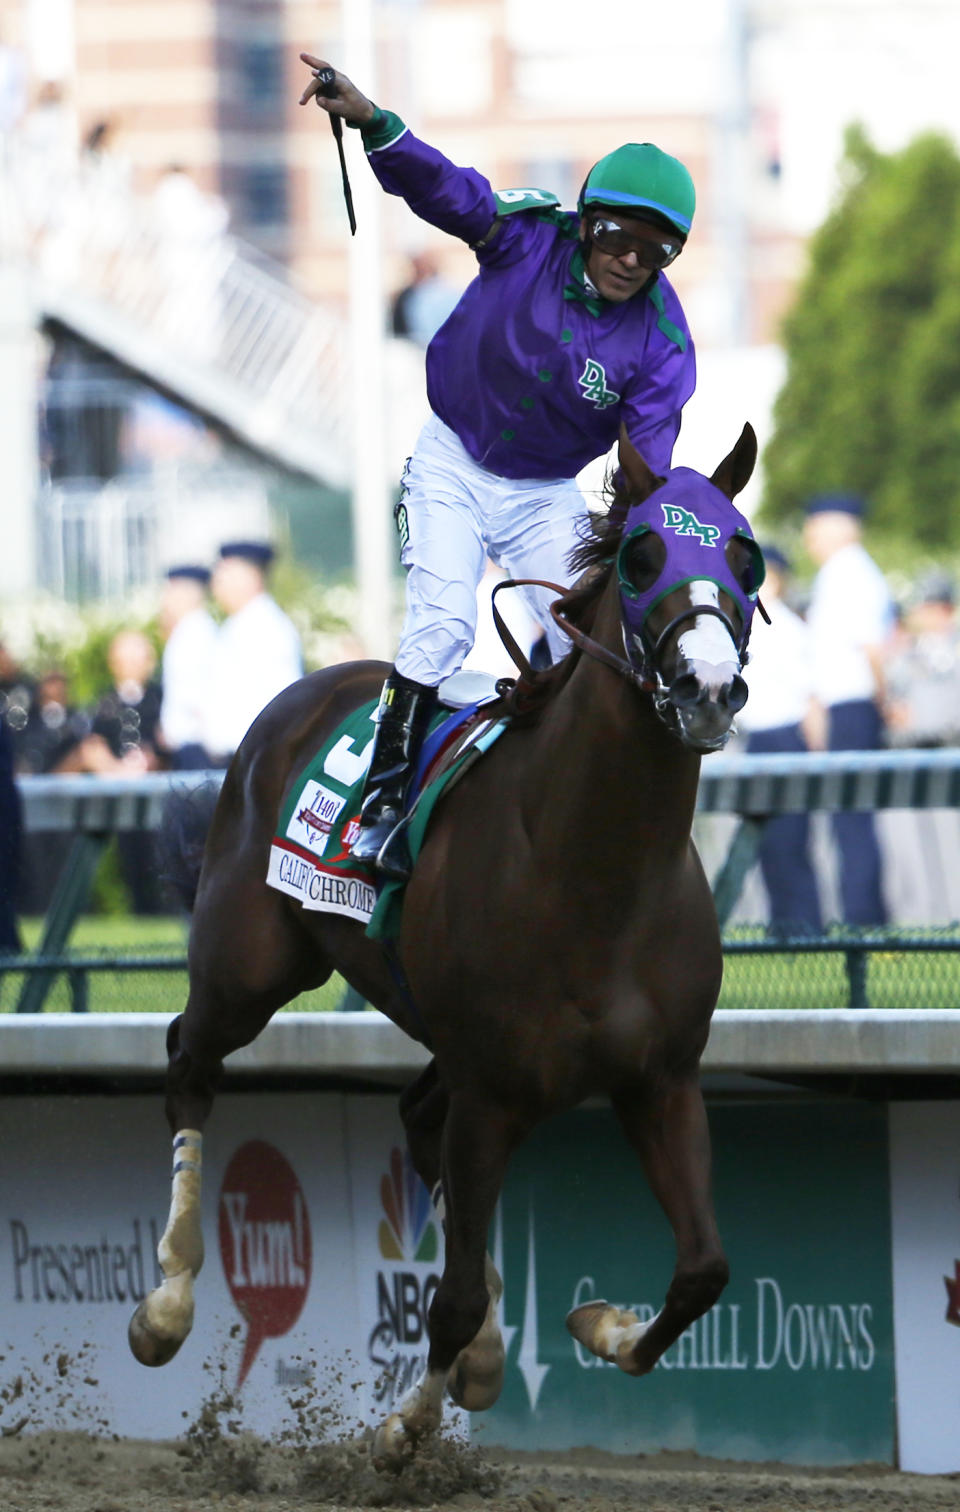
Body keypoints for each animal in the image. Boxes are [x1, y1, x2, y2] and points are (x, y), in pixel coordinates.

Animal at [129, 420, 764, 1469]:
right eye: (641, 557)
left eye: (746, 558)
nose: (708, 686)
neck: (596, 865)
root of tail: (307, 687)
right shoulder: (496, 1093)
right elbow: (453, 1293)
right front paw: (402, 1429)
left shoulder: (658, 1079)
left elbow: (705, 1268)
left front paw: (597, 1325)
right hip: (249, 964)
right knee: (189, 1058)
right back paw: (167, 1303)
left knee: (416, 1117)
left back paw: (490, 1355)